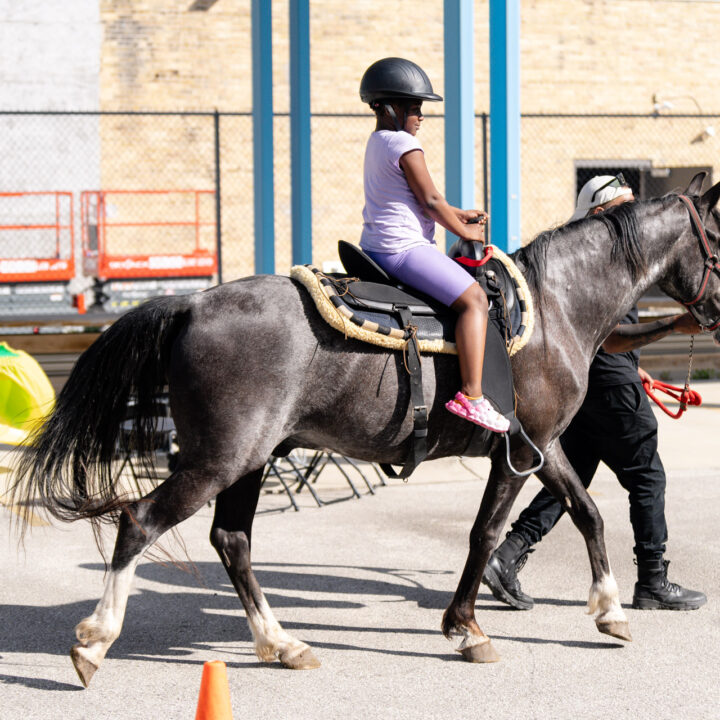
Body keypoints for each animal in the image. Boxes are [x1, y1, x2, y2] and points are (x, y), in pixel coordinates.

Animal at [11, 174, 720, 688]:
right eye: (719, 234)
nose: (712, 312)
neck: (551, 308)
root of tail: (192, 302)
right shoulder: (521, 451)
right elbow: (488, 533)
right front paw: (467, 629)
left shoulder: (540, 447)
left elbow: (586, 512)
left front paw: (609, 611)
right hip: (218, 459)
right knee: (140, 521)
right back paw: (95, 642)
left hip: (251, 460)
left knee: (231, 540)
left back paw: (281, 642)